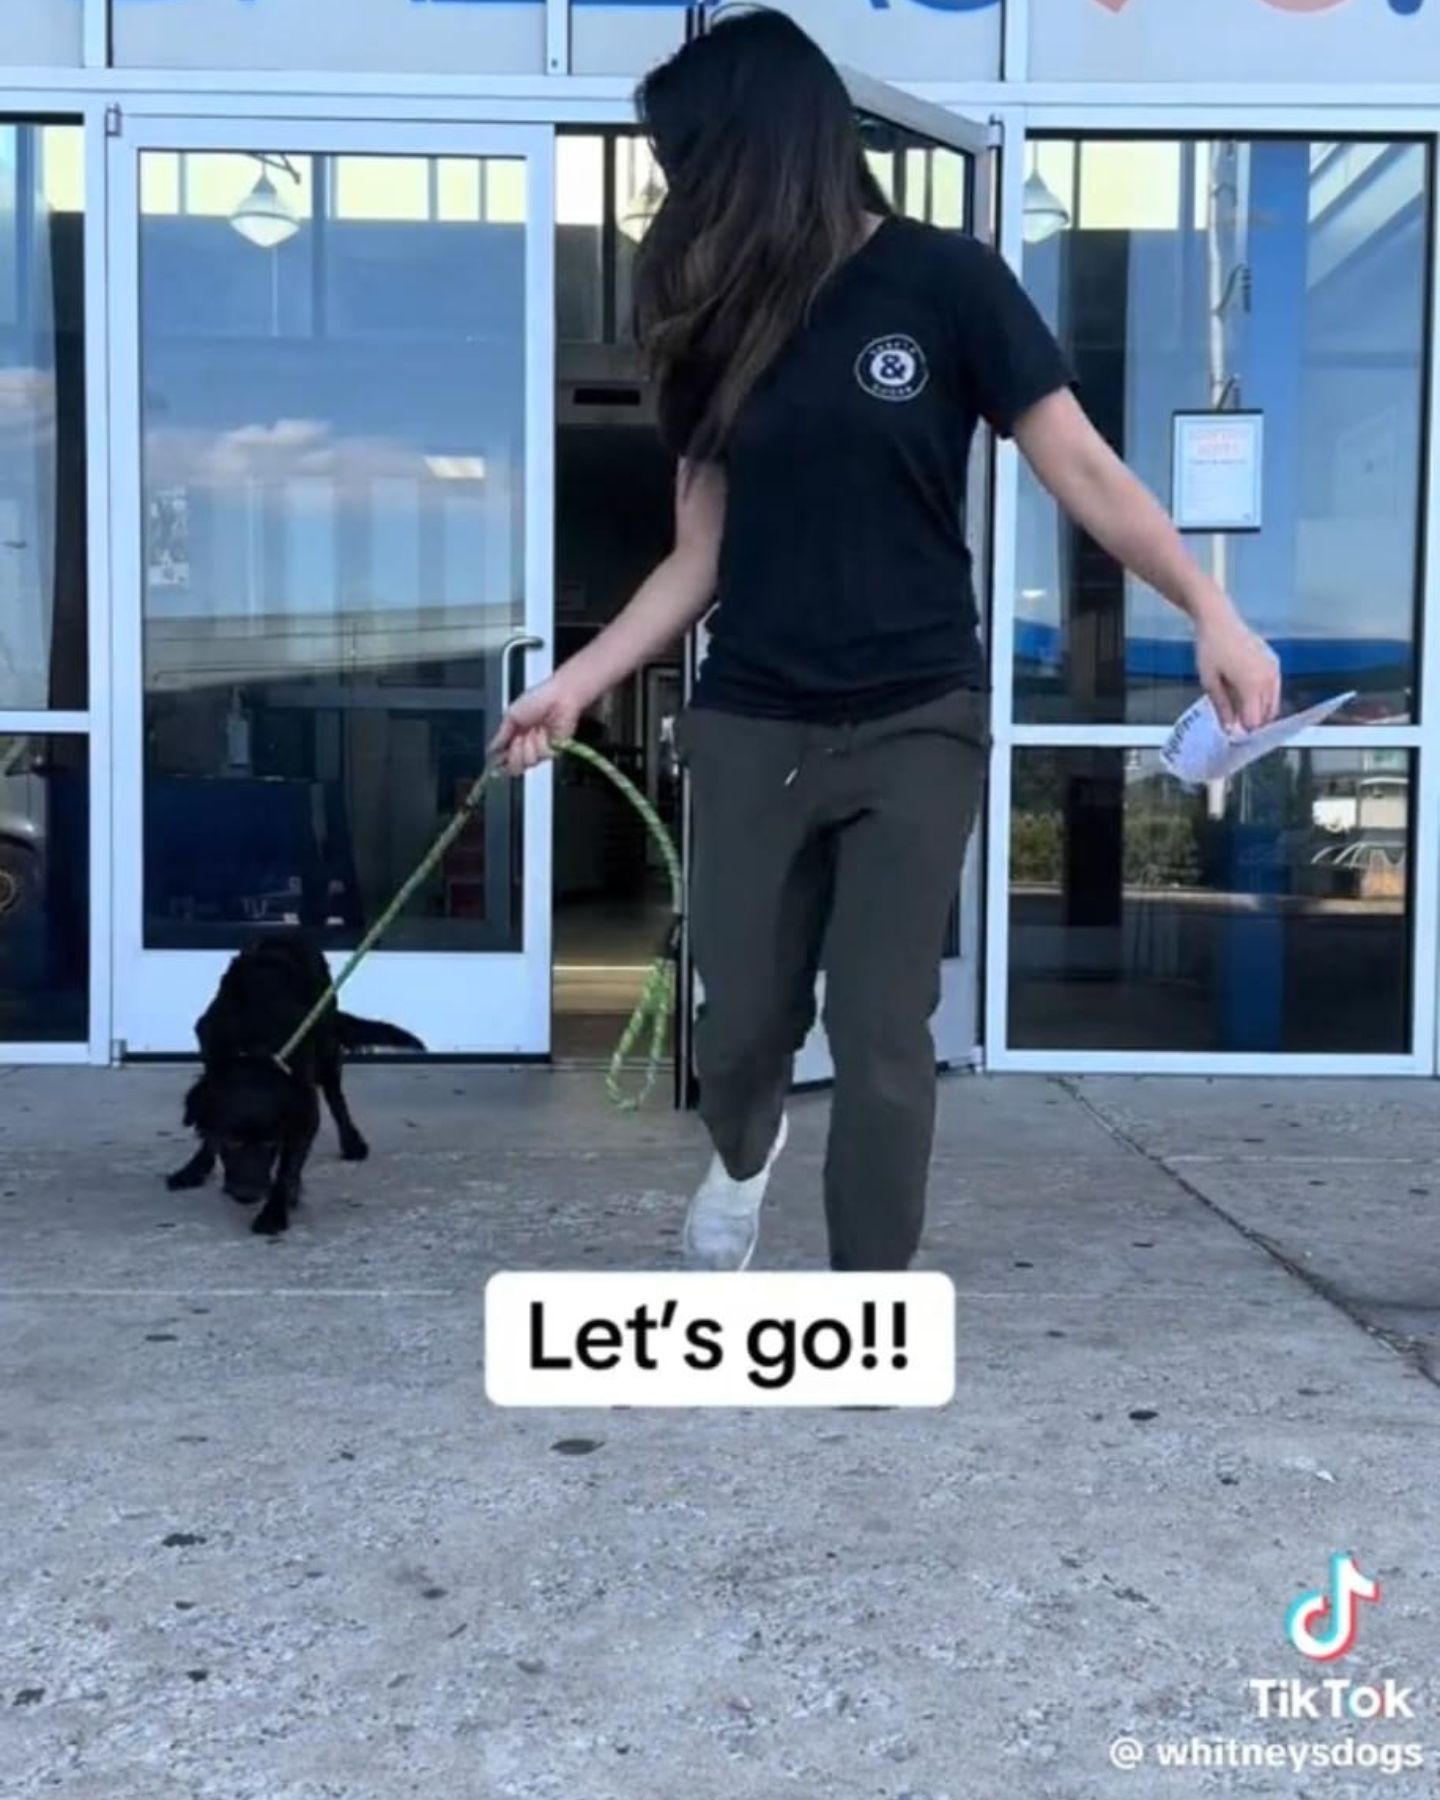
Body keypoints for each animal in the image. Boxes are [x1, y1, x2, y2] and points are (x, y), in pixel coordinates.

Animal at [166, 928, 421, 1238]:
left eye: (271, 1142)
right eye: (233, 1141)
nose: (248, 1194)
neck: (253, 1044)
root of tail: (287, 931)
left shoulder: (303, 1110)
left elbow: (287, 1168)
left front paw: (274, 1212)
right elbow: (209, 1133)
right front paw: (195, 1168)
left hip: (326, 1046)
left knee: (336, 1097)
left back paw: (350, 1143)